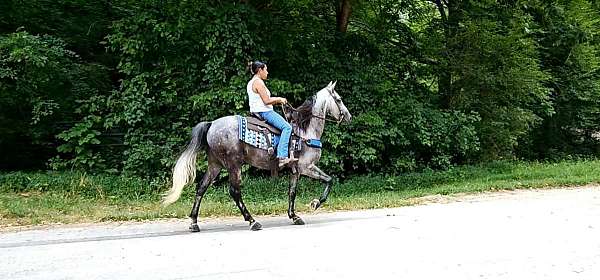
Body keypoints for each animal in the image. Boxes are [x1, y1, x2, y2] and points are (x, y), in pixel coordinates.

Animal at [163, 81, 352, 232]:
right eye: (339, 99)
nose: (349, 117)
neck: (305, 131)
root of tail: (211, 125)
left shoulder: (295, 171)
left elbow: (292, 192)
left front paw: (294, 216)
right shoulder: (307, 167)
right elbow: (329, 180)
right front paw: (315, 203)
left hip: (215, 165)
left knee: (201, 188)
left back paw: (194, 223)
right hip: (234, 165)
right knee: (234, 192)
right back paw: (252, 221)